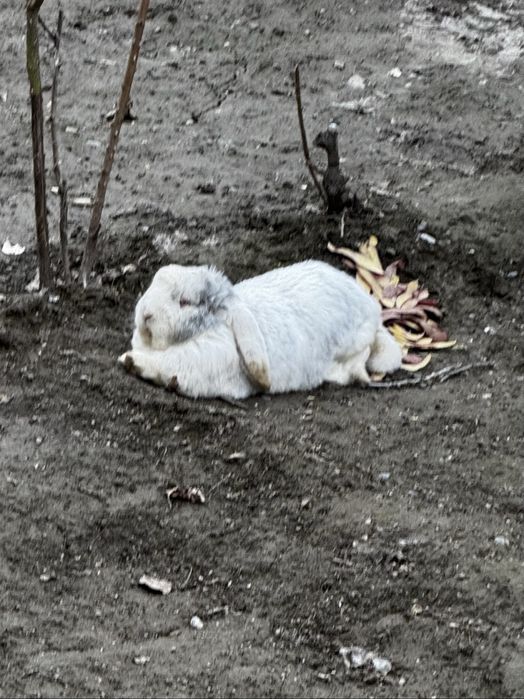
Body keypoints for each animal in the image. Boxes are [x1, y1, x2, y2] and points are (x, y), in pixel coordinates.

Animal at [118, 260, 402, 399]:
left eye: (185, 302)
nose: (145, 314)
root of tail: (371, 307)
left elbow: (165, 365)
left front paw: (130, 361)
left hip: (355, 341)